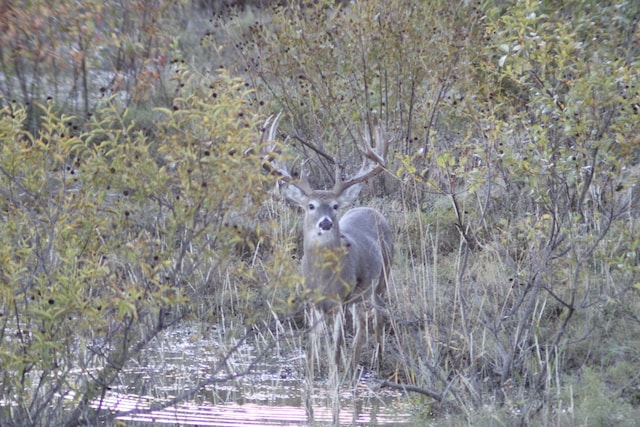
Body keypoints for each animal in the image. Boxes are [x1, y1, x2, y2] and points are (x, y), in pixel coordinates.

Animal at [262, 115, 392, 372]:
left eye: (334, 206)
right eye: (310, 206)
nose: (325, 223)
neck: (323, 277)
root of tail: (371, 209)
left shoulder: (341, 297)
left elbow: (337, 344)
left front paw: (335, 370)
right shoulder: (313, 300)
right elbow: (313, 344)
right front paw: (311, 371)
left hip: (381, 278)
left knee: (377, 320)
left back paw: (376, 359)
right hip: (358, 295)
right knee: (362, 323)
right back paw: (354, 363)